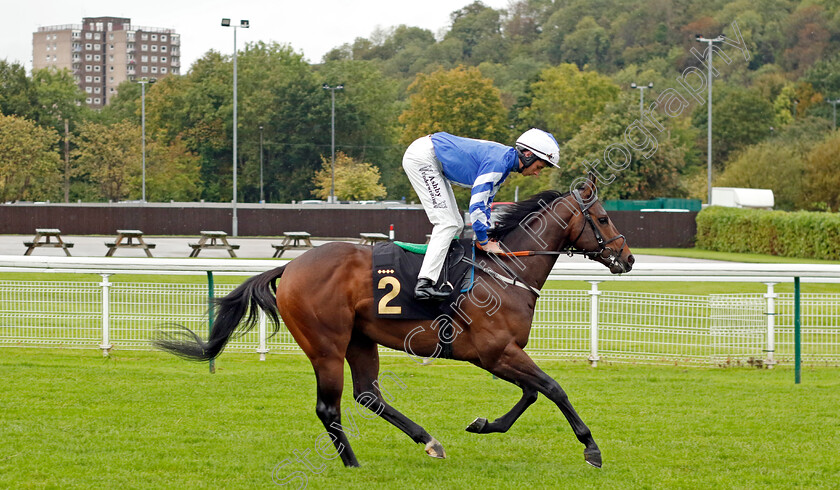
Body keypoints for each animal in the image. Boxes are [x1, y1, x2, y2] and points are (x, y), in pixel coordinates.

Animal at [156, 174, 632, 468]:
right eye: (603, 218)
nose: (627, 258)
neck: (504, 270)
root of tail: (289, 267)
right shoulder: (495, 352)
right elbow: (553, 388)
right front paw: (591, 448)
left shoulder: (499, 354)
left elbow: (533, 393)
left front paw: (483, 424)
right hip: (326, 345)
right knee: (329, 406)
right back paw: (352, 462)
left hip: (360, 340)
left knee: (368, 395)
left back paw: (428, 441)